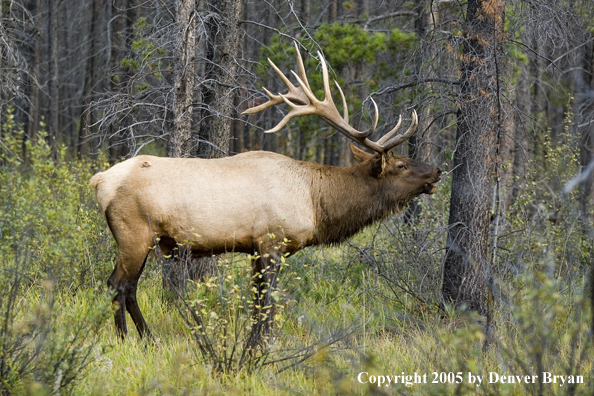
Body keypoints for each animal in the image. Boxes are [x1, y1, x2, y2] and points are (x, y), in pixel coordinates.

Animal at [90, 44, 438, 340]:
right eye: (401, 165)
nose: (437, 171)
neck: (316, 204)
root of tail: (99, 180)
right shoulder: (273, 242)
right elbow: (267, 302)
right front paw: (262, 343)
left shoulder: (255, 248)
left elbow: (258, 301)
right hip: (134, 233)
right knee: (118, 285)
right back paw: (127, 339)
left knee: (128, 287)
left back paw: (148, 337)